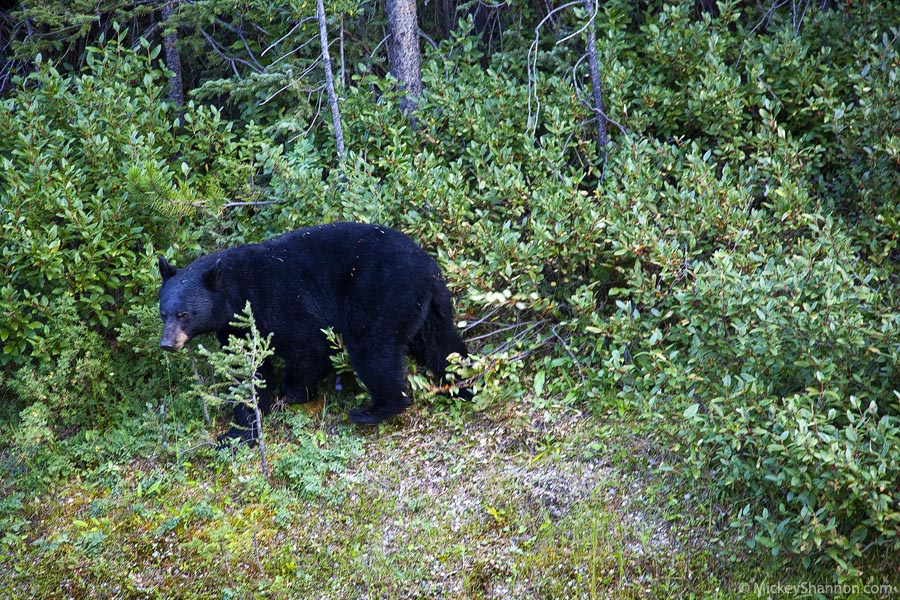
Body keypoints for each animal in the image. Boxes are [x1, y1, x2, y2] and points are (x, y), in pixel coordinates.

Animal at [160, 220, 472, 440]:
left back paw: (373, 410)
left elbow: (309, 347)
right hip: (428, 309)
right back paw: (462, 385)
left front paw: (291, 393)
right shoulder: (236, 329)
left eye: (184, 314)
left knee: (373, 351)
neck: (236, 290)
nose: (167, 343)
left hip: (383, 297)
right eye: (163, 312)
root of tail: (428, 268)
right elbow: (248, 372)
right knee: (442, 346)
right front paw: (240, 428)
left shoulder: (278, 299)